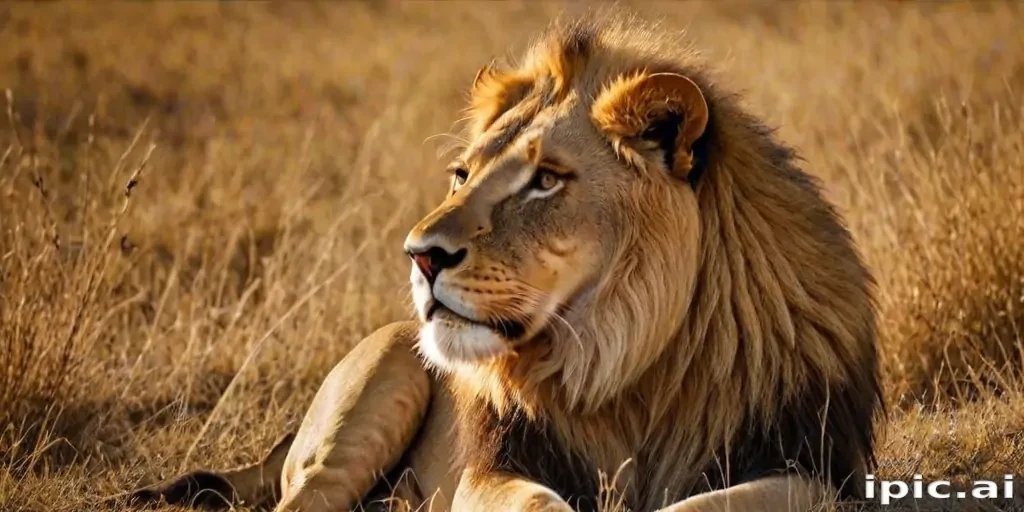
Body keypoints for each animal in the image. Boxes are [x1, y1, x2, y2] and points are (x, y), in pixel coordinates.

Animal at [126, 11, 882, 512]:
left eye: (545, 180)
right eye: (462, 175)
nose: (420, 257)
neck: (627, 358)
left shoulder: (817, 468)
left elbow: (705, 504)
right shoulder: (492, 467)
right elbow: (536, 502)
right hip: (378, 387)